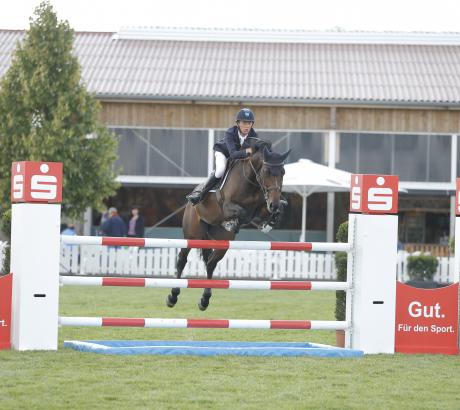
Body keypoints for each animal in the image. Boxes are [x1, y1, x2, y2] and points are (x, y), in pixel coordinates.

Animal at [165, 139, 290, 310]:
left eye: (283, 172)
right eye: (266, 171)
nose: (274, 204)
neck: (251, 181)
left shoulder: (263, 205)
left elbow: (275, 209)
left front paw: (269, 221)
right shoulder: (227, 205)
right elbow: (243, 213)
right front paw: (233, 223)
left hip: (221, 242)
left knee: (210, 263)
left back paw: (204, 300)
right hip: (192, 235)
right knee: (182, 260)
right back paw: (173, 296)